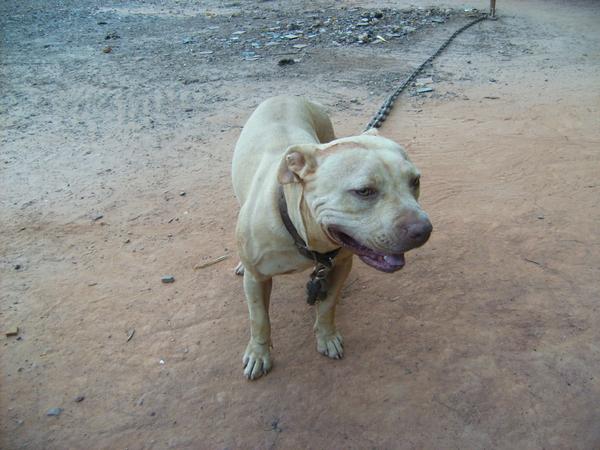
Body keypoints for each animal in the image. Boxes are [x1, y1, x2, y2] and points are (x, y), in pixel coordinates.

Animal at [232, 96, 432, 379]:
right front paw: (259, 354)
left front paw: (326, 337)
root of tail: (286, 96)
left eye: (415, 181)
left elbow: (327, 306)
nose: (423, 230)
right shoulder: (256, 279)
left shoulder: (341, 265)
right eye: (364, 191)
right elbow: (259, 320)